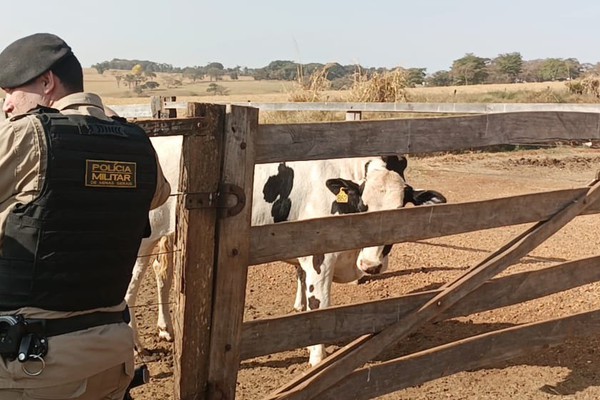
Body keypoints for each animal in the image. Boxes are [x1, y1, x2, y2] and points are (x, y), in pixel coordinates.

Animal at [126, 137, 446, 366]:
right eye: (362, 206)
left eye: (400, 209)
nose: (371, 265)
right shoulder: (319, 258)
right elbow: (319, 306)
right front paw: (317, 358)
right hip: (141, 242)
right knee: (130, 289)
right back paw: (137, 347)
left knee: (162, 274)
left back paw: (166, 329)